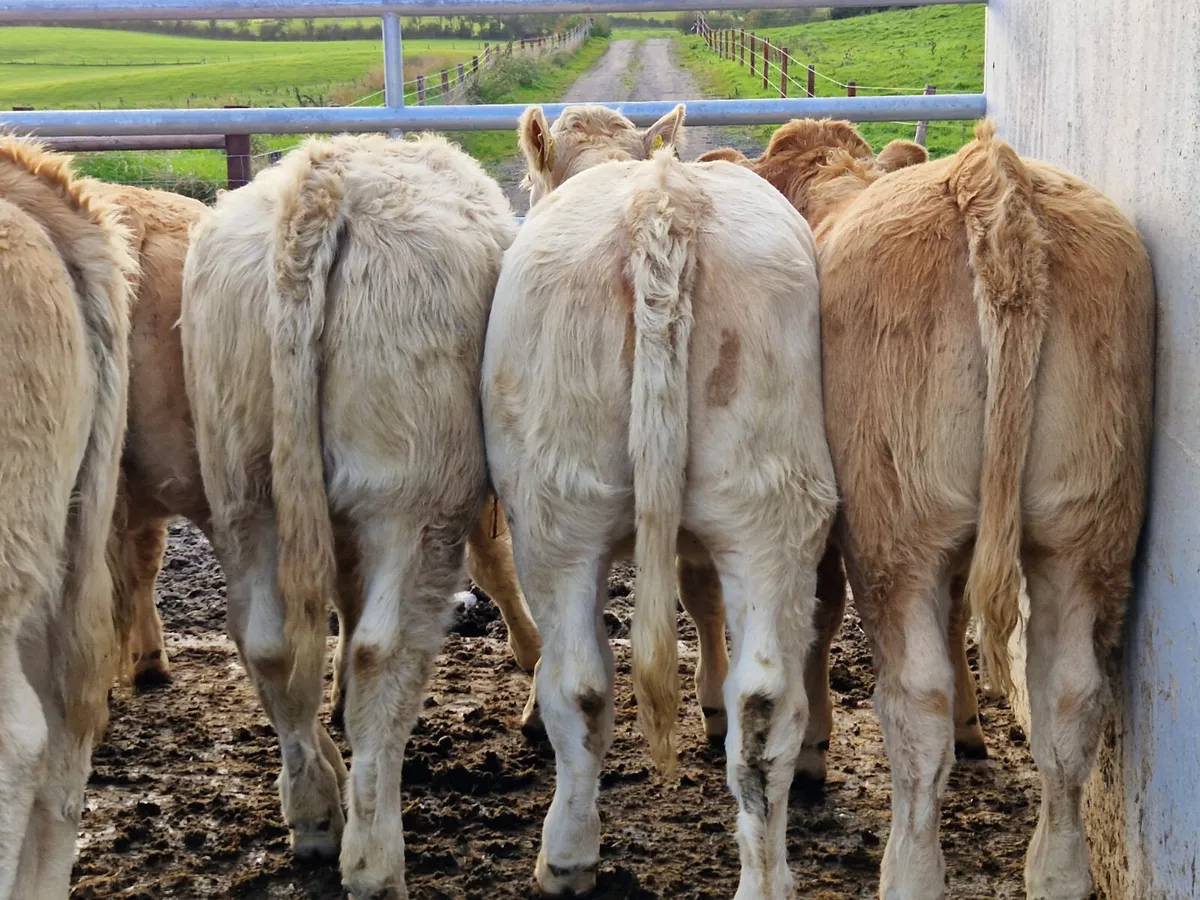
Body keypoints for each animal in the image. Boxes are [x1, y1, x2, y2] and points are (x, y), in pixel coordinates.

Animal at [180, 130, 518, 897]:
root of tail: (323, 179)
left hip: (243, 493)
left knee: (268, 644)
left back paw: (313, 813)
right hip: (413, 502)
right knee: (381, 651)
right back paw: (373, 858)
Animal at [482, 102, 840, 897]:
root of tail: (661, 202)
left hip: (551, 515)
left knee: (579, 687)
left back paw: (565, 857)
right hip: (768, 501)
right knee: (763, 705)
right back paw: (765, 879)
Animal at [700, 123, 1156, 900]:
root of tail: (992, 179)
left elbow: (823, 616)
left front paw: (816, 749)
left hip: (898, 526)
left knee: (916, 701)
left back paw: (909, 870)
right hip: (1087, 521)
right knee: (1069, 697)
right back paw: (1056, 872)